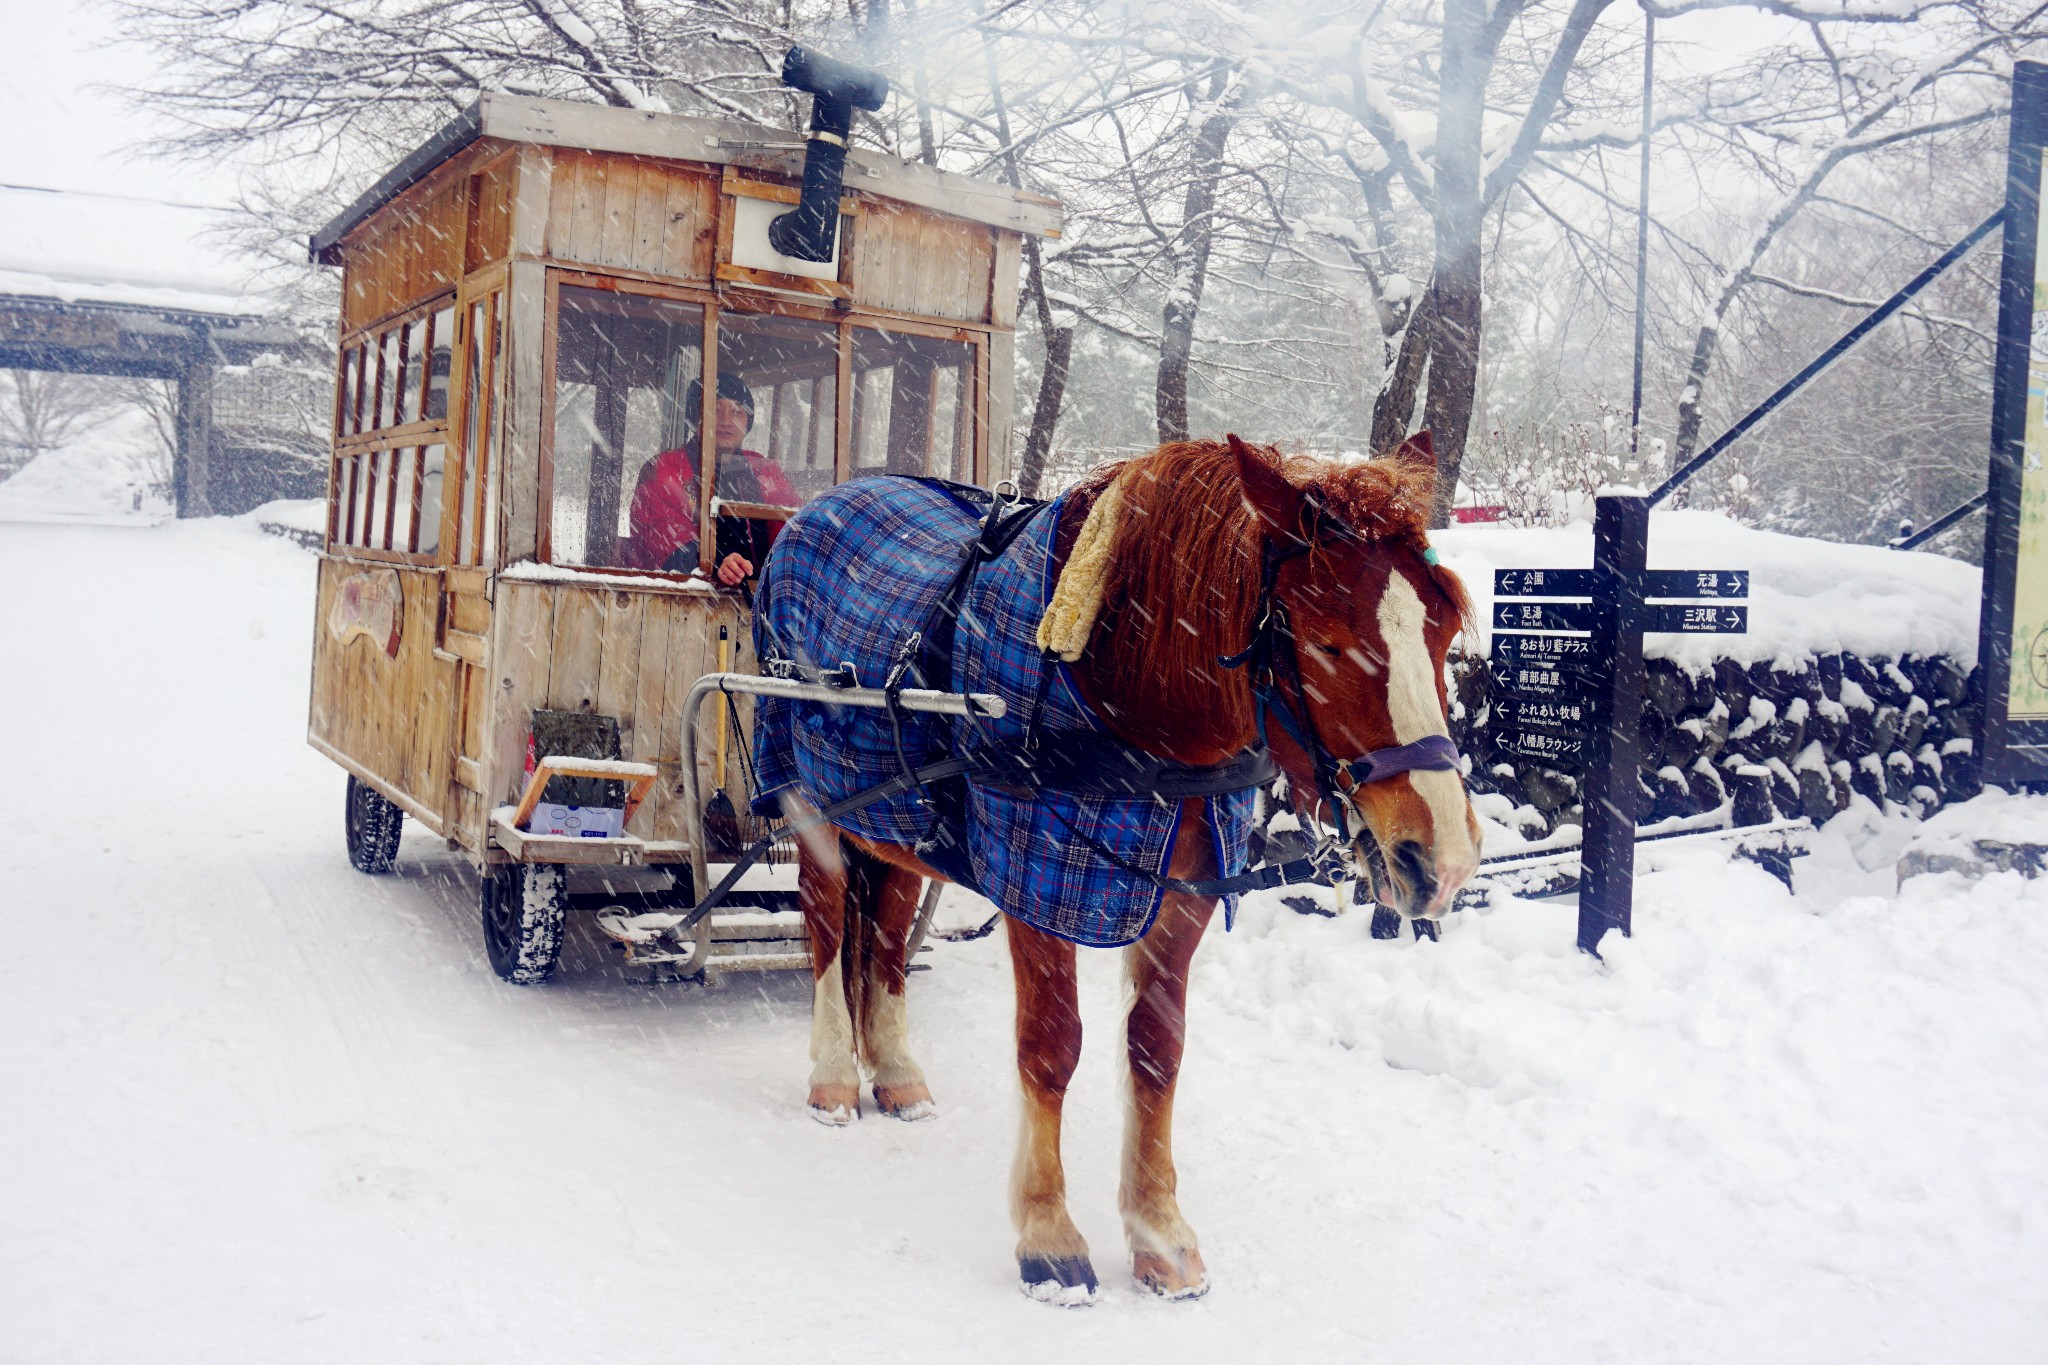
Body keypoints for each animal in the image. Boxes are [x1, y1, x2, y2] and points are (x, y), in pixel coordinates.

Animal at [790, 435, 1482, 1301]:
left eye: (1444, 632)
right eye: (1327, 640)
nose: (1443, 857)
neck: (1130, 693)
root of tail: (824, 500)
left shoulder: (1182, 895)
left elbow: (1158, 1050)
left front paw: (1159, 1233)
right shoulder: (1036, 872)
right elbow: (1051, 1046)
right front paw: (1049, 1235)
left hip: (899, 817)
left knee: (883, 935)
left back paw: (895, 1071)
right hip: (811, 798)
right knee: (826, 921)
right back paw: (832, 1074)